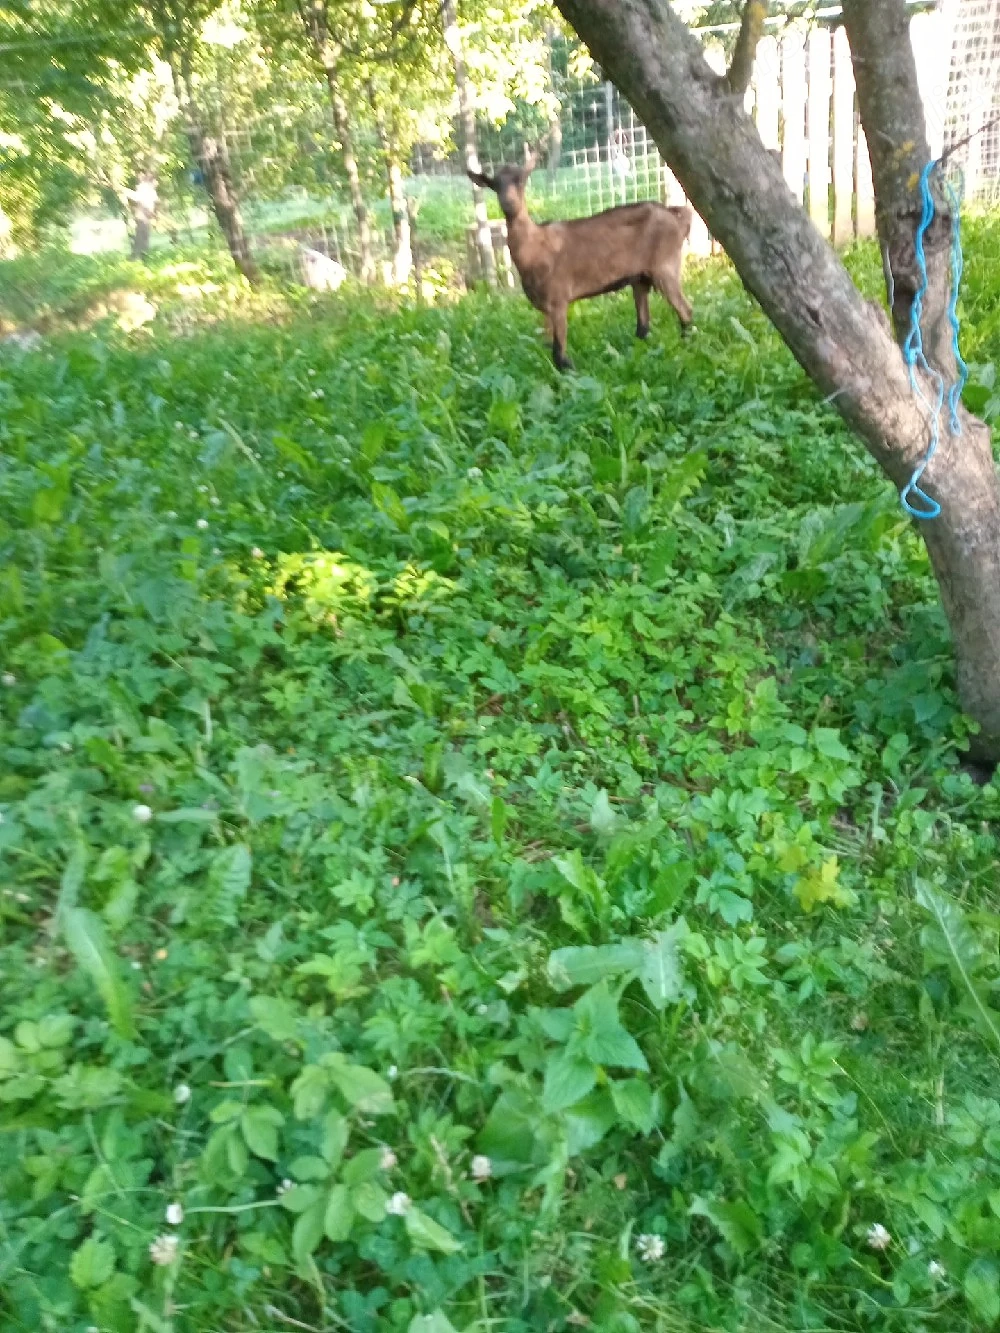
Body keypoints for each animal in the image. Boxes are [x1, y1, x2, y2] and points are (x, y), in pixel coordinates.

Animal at [467, 152, 694, 371]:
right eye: (494, 184)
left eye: (521, 180)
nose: (509, 204)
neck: (536, 246)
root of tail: (676, 217)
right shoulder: (544, 308)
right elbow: (547, 346)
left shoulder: (558, 300)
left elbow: (558, 353)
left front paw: (570, 373)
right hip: (640, 277)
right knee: (643, 324)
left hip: (665, 266)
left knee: (685, 310)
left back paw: (686, 345)